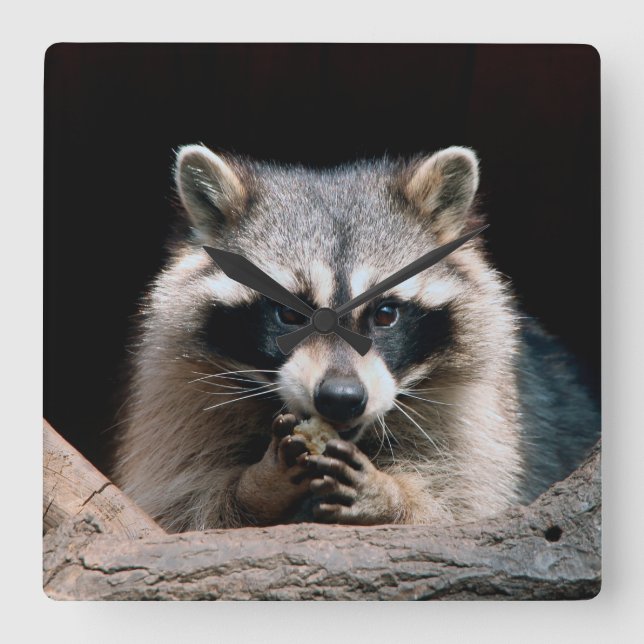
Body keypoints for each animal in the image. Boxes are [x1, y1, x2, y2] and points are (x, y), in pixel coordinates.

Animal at [113, 144, 600, 532]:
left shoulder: (482, 414)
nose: (341, 398)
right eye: (289, 313)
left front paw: (392, 496)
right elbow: (178, 505)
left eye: (385, 314)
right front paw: (256, 487)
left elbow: (467, 507)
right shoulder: (180, 397)